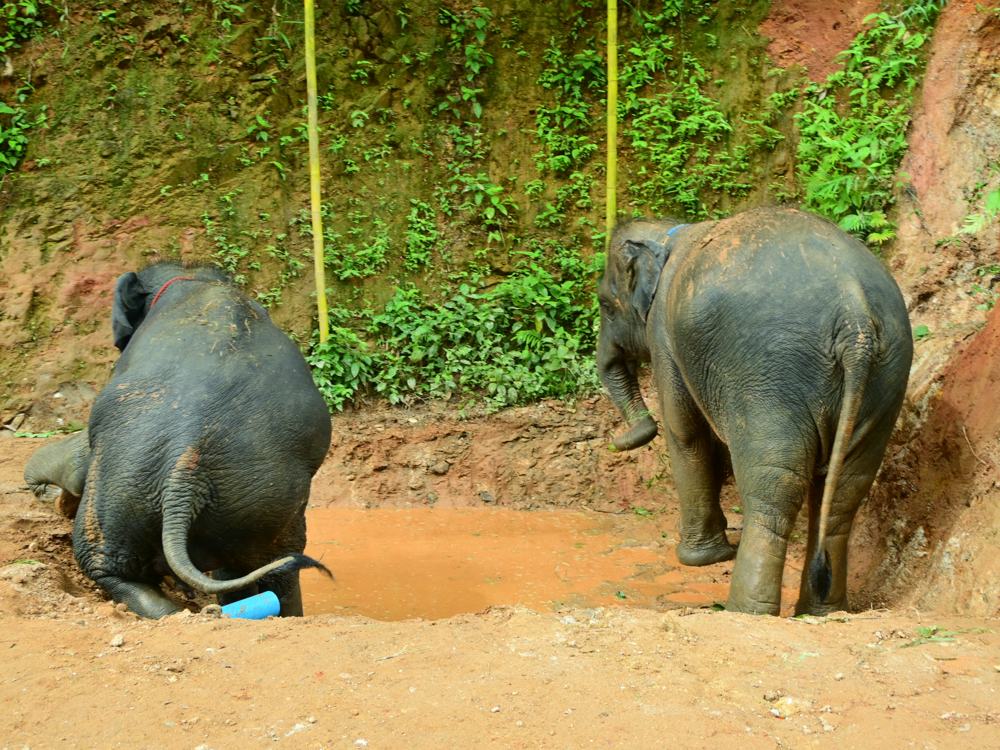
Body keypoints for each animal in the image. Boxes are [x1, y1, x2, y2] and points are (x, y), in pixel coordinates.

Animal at [597, 207, 912, 616]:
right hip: (887, 372)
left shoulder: (664, 334)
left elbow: (686, 430)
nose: (618, 439)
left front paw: (700, 559)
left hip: (771, 373)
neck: (666, 231)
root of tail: (853, 318)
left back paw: (744, 609)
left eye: (605, 305)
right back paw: (822, 611)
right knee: (846, 488)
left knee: (774, 486)